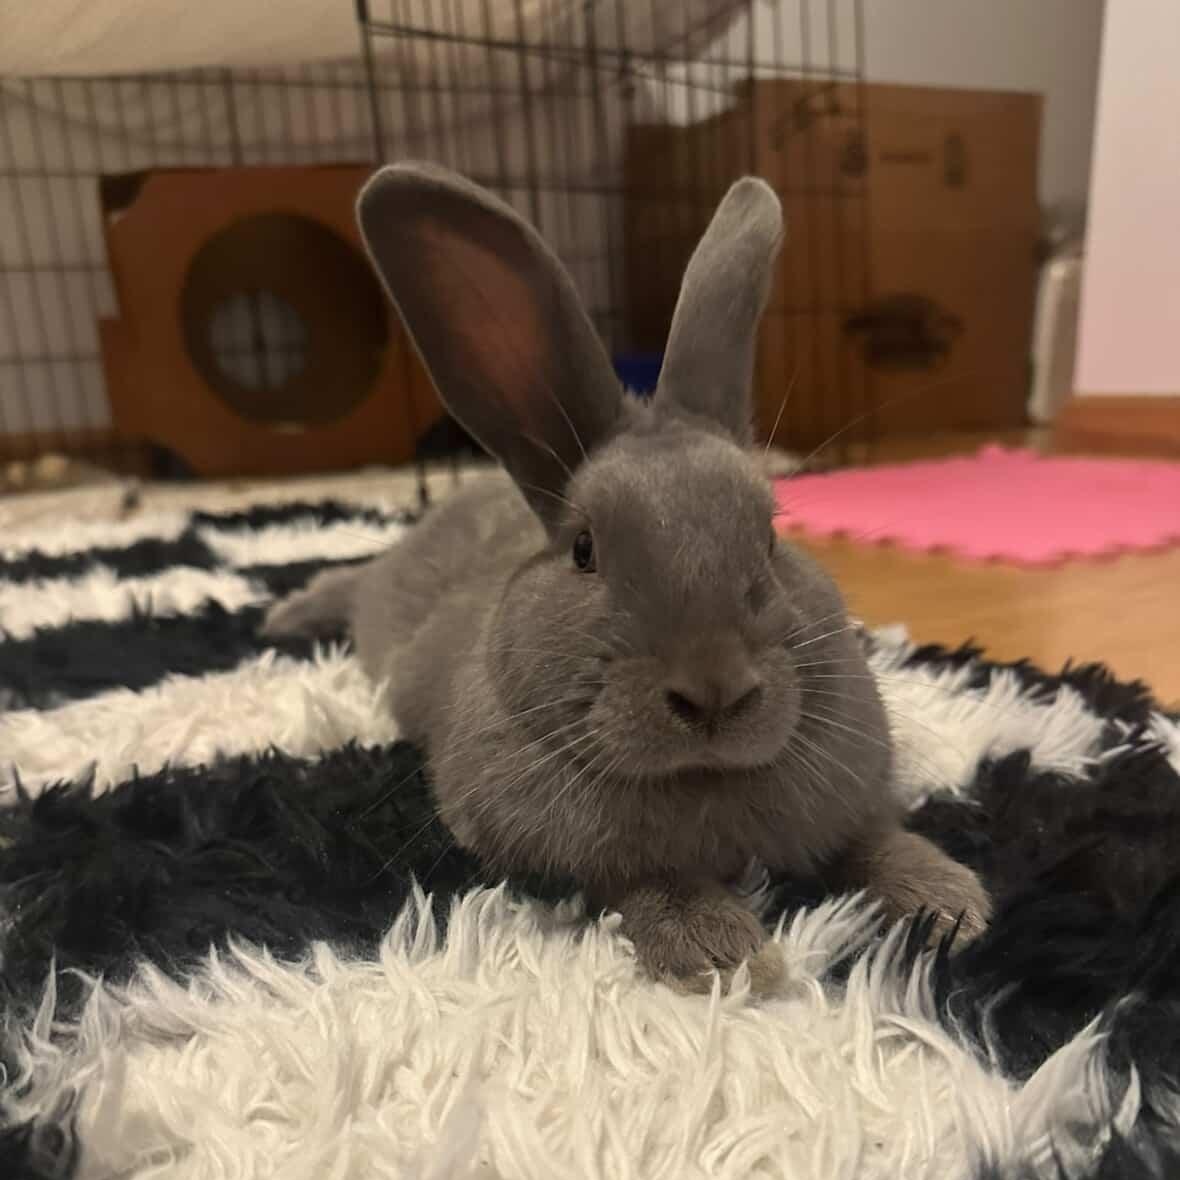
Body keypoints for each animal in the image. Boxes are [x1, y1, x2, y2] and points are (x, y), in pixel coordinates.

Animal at [263, 162, 991, 992]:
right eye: (584, 549)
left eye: (771, 537)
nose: (716, 693)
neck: (704, 777)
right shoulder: (585, 857)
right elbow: (648, 880)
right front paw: (723, 953)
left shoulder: (851, 802)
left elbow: (873, 837)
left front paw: (948, 905)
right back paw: (283, 615)